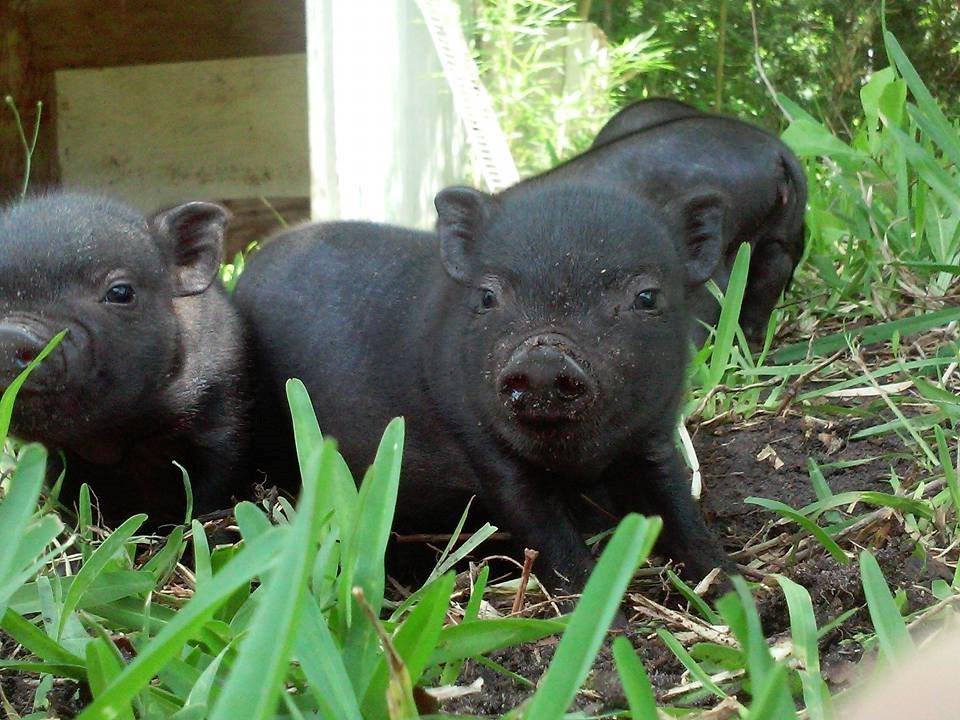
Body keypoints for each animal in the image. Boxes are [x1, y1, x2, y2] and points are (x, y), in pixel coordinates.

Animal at [234, 181, 734, 592]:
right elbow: (544, 531)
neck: (577, 460)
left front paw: (733, 587)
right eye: (488, 296)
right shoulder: (483, 446)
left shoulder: (652, 436)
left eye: (646, 297)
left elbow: (678, 503)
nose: (543, 357)